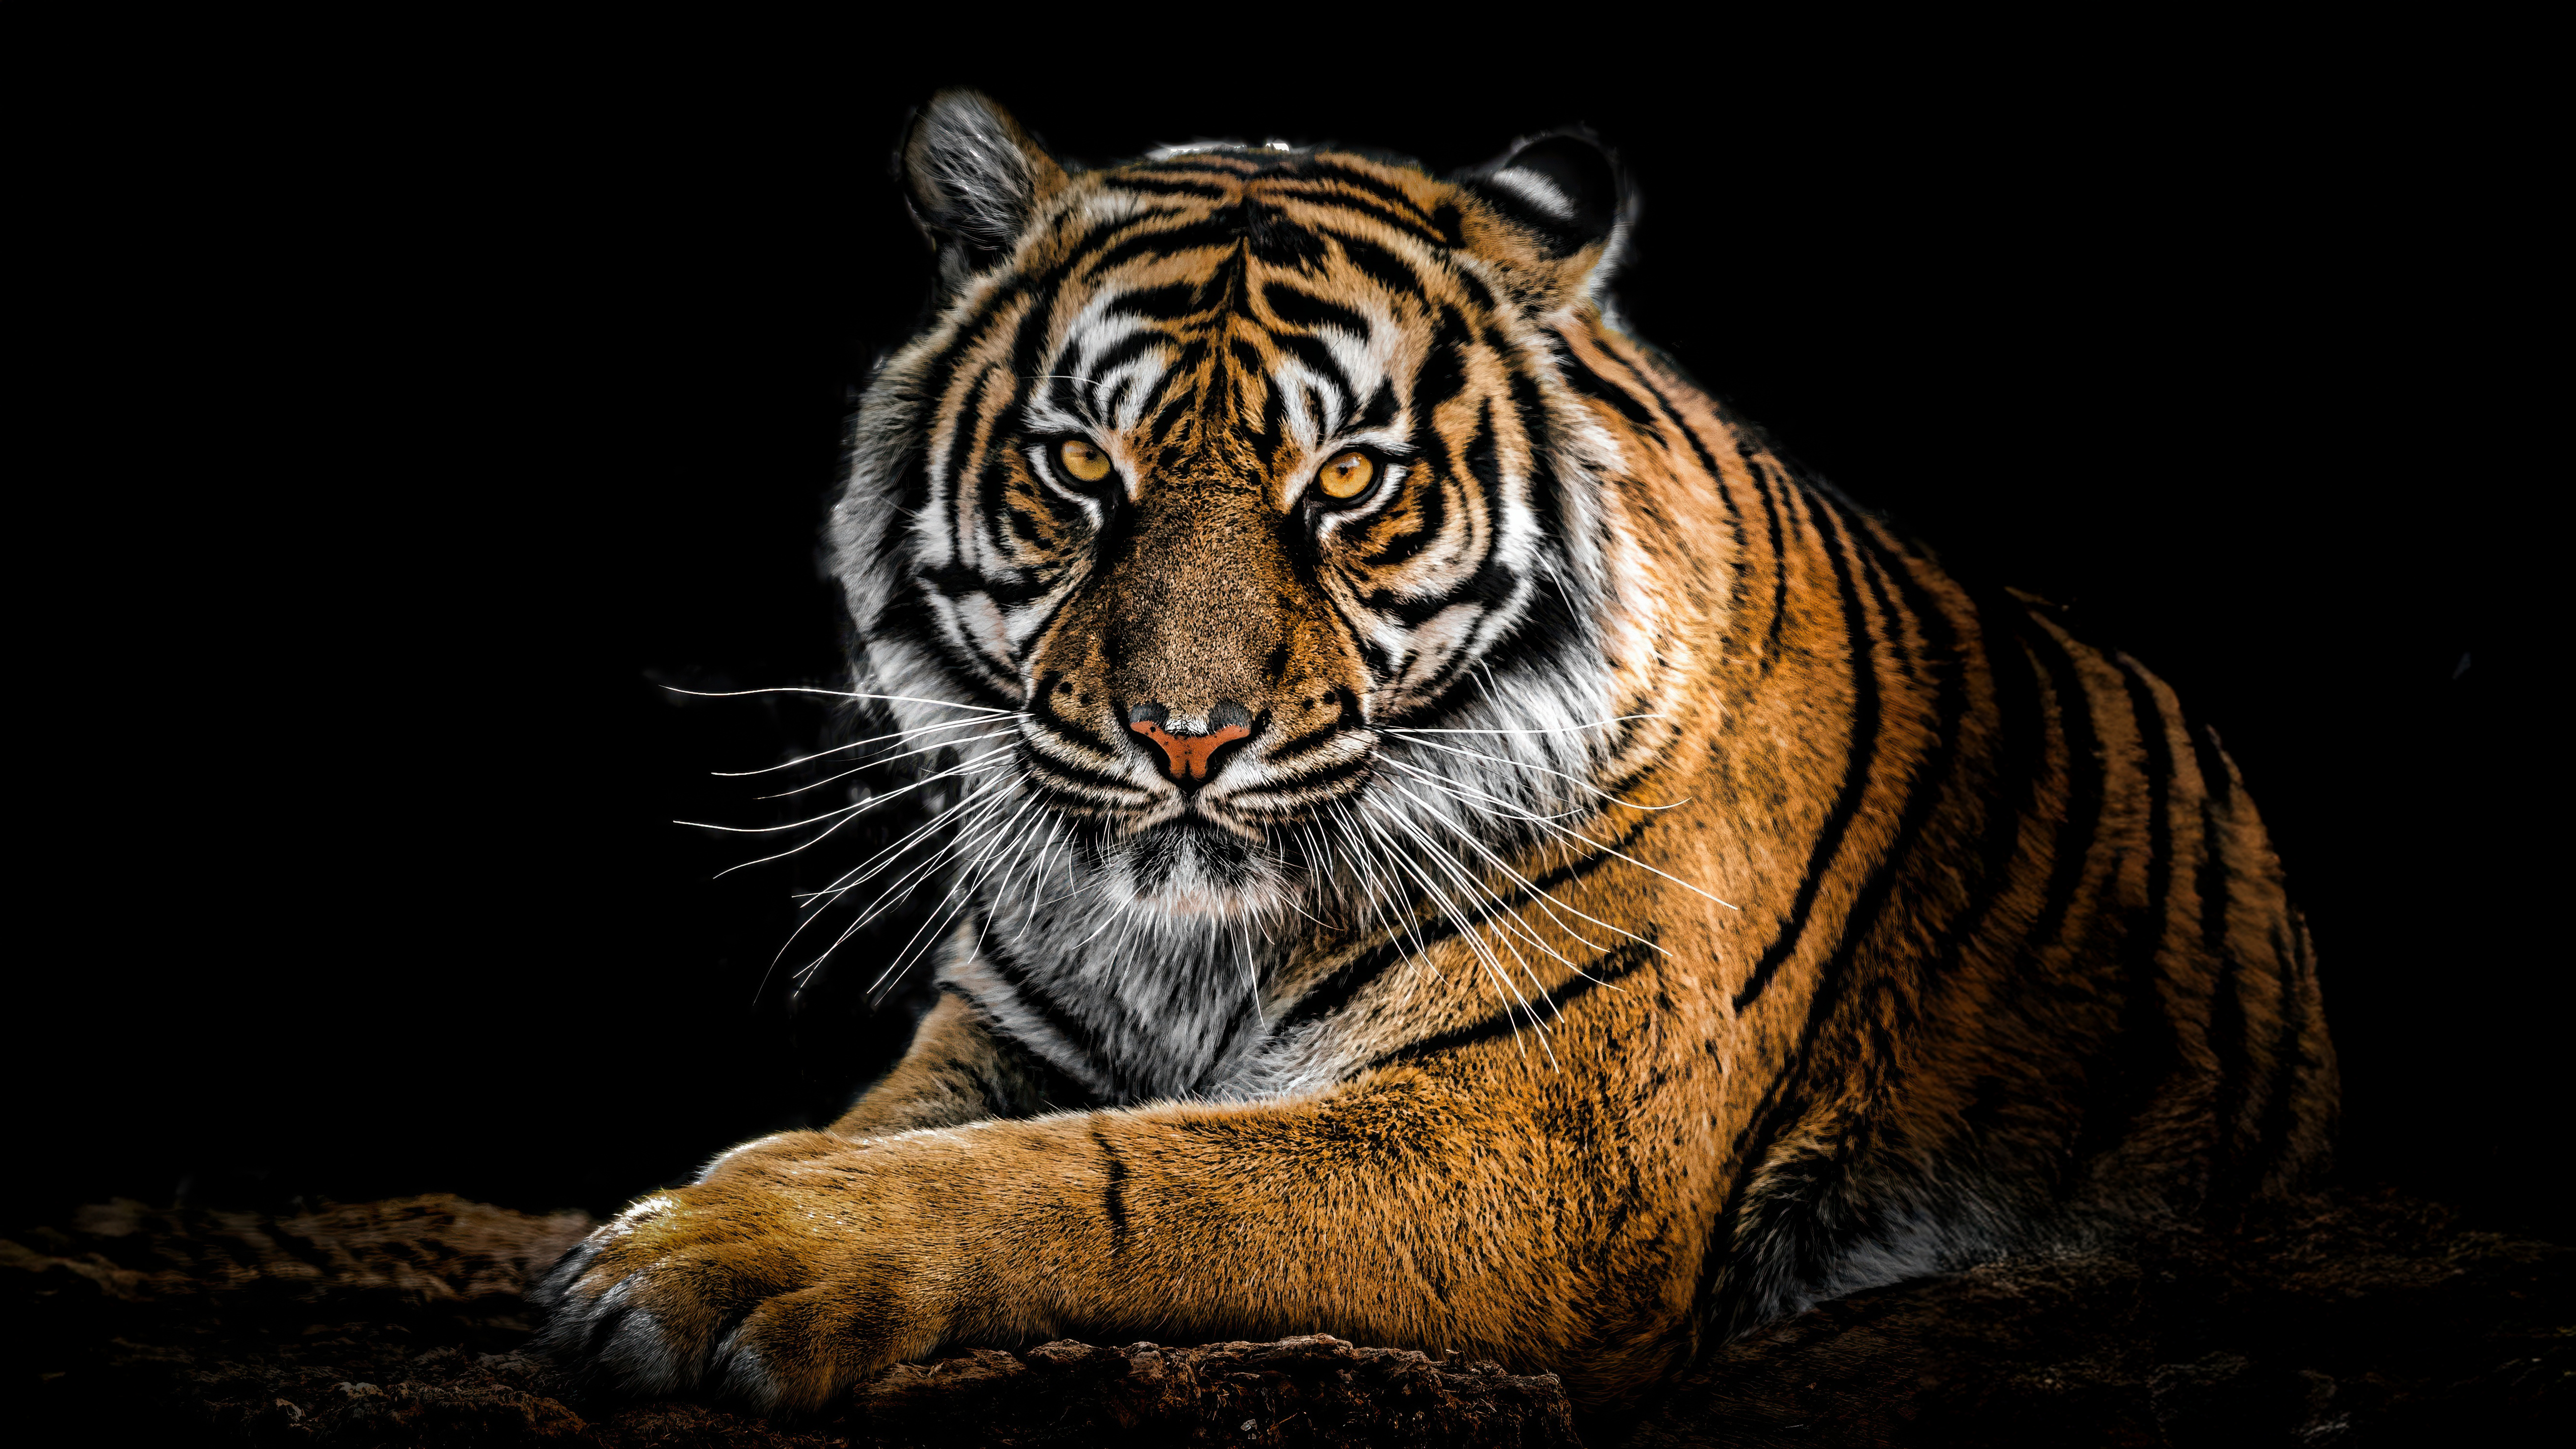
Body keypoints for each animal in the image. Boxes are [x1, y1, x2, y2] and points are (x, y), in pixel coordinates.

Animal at [532, 89, 2339, 1425]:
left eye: (1348, 482)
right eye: (1079, 467)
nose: (1184, 739)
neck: (1189, 949)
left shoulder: (1535, 1146)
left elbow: (1119, 1184)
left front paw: (716, 1254)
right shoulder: (1005, 1033)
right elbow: (901, 1127)